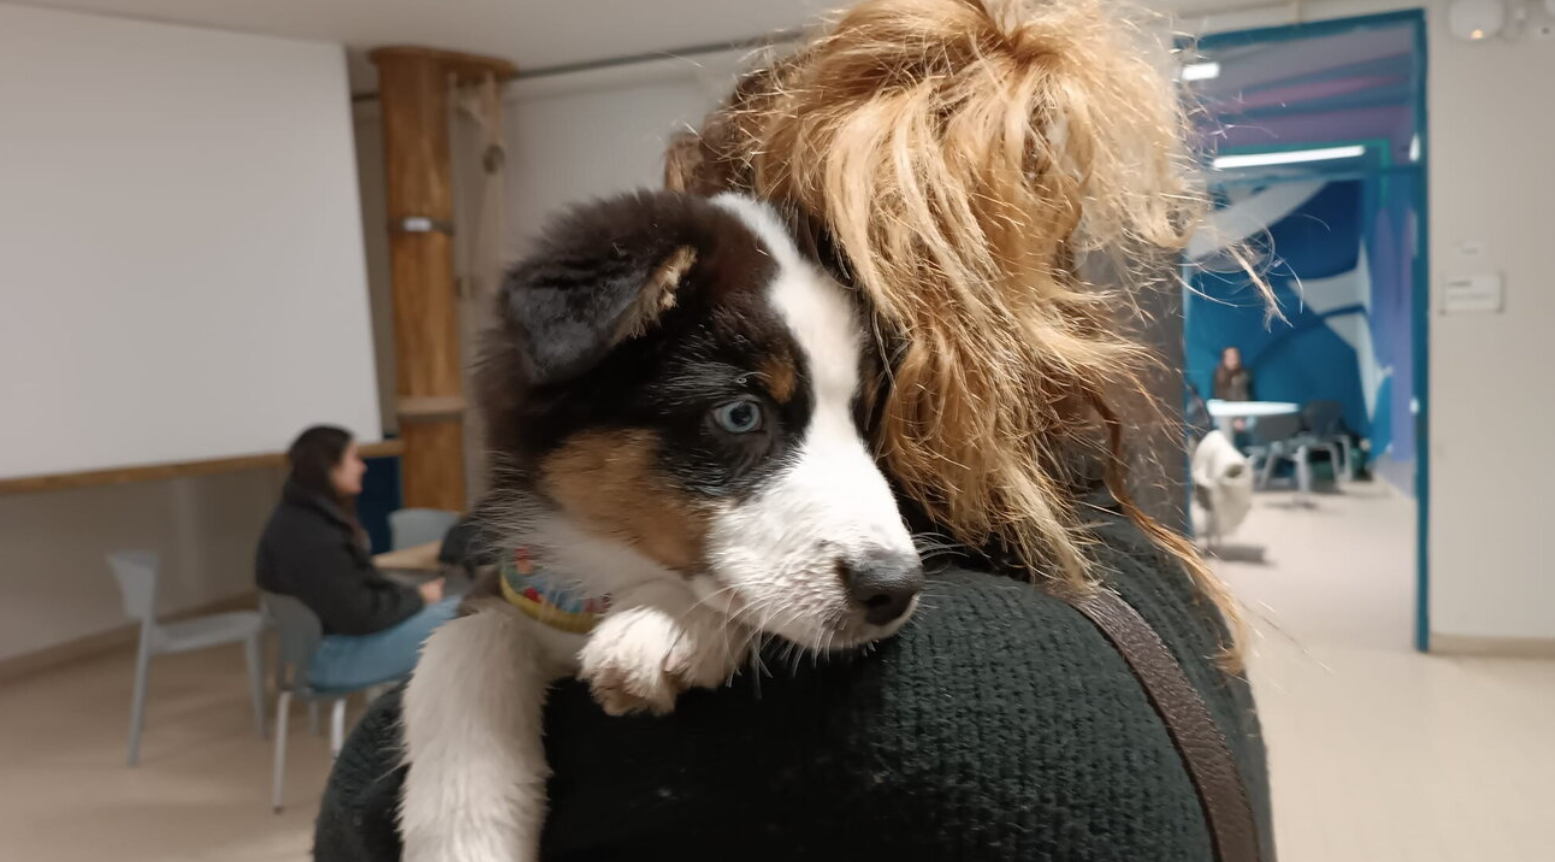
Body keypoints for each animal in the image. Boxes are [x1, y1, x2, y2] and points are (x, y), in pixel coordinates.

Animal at [398, 189, 920, 858]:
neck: (606, 562)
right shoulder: (515, 582)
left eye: (867, 419)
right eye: (741, 414)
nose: (894, 588)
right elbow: (463, 639)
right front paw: (465, 825)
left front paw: (663, 624)